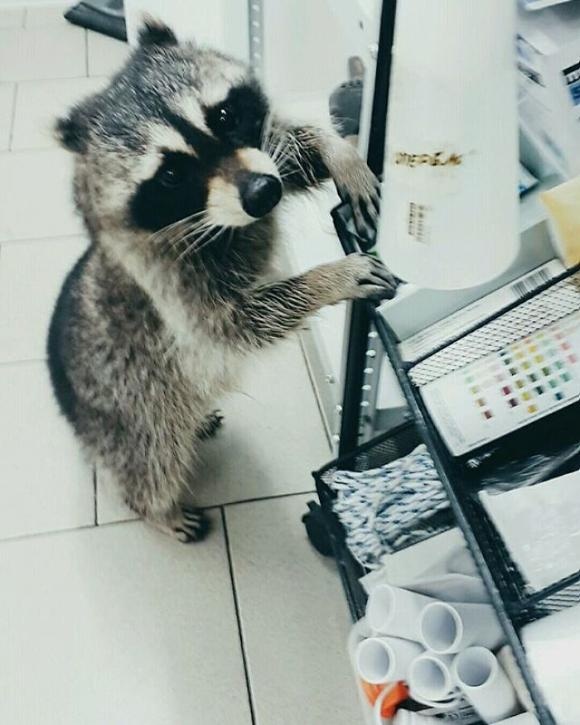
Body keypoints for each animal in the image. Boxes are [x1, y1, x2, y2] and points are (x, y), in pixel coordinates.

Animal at [47, 20, 397, 542]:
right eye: (172, 173)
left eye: (226, 114)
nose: (263, 193)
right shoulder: (168, 283)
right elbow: (235, 323)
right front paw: (328, 278)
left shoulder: (261, 163)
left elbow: (285, 152)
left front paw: (335, 150)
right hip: (129, 413)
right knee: (152, 462)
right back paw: (157, 510)